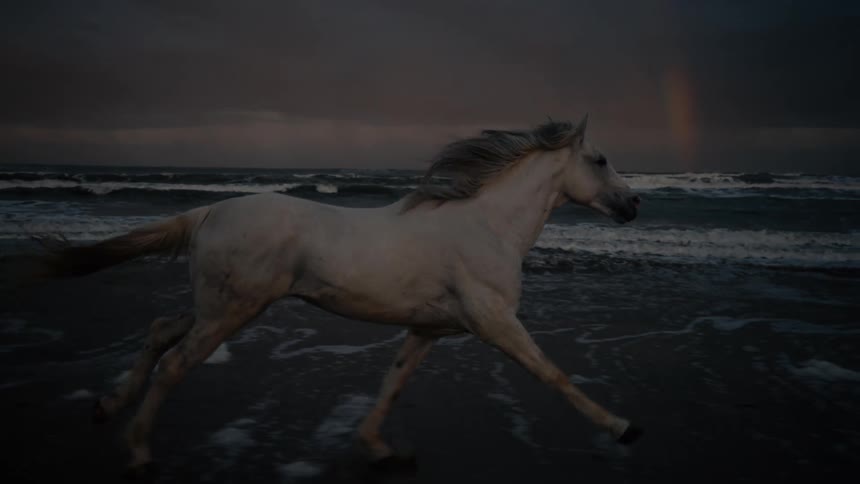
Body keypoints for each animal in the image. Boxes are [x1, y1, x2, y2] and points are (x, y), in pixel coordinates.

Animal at [9, 115, 642, 477]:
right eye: (601, 159)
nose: (634, 204)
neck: (486, 225)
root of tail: (211, 209)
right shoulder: (496, 322)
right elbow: (553, 375)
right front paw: (622, 428)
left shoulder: (429, 329)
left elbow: (393, 383)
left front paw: (379, 450)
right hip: (232, 310)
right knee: (175, 365)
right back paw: (138, 451)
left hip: (217, 305)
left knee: (160, 330)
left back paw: (106, 406)